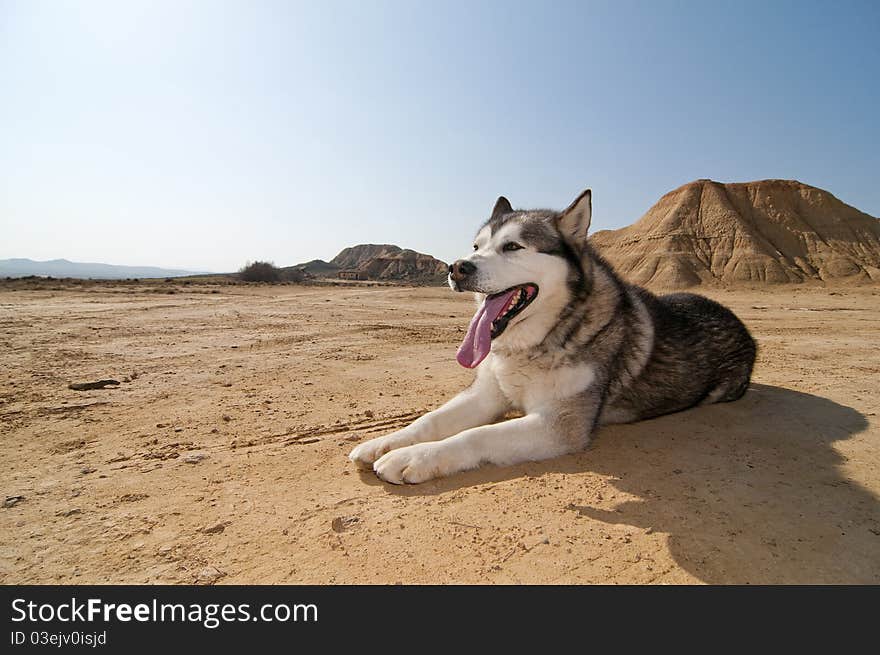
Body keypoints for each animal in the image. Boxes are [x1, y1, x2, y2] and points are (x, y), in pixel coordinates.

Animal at [350, 187, 756, 484]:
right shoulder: (487, 395)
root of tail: (743, 326)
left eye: (513, 246)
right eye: (477, 246)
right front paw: (384, 442)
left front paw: (413, 457)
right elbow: (430, 420)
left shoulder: (559, 425)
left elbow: (476, 435)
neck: (537, 340)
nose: (457, 267)